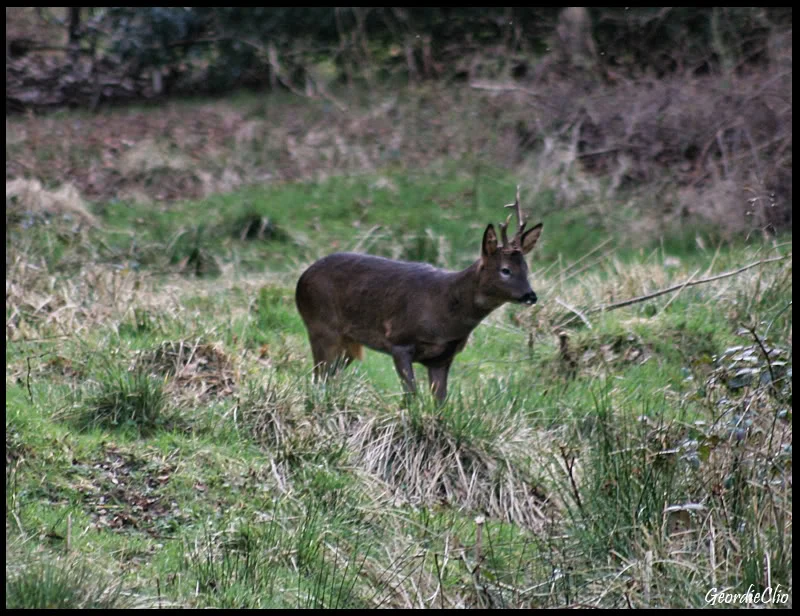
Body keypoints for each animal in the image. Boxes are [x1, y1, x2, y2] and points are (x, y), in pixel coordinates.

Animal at [295, 186, 543, 403]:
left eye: (526, 268)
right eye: (505, 270)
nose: (530, 295)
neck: (446, 316)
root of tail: (302, 279)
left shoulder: (442, 358)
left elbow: (440, 403)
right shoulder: (399, 340)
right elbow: (411, 396)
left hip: (348, 343)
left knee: (328, 377)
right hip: (321, 326)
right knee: (318, 378)